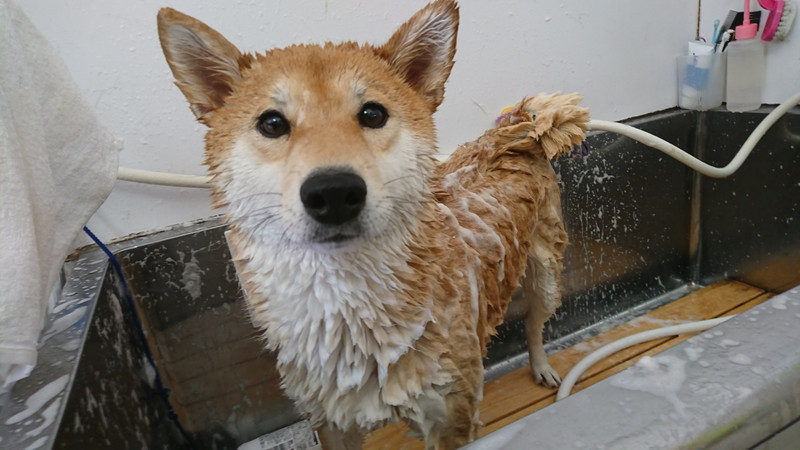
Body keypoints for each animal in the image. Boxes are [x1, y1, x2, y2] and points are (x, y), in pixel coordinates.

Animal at [157, 1, 588, 448]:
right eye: (272, 123)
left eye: (372, 114)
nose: (333, 193)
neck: (350, 311)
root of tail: (515, 130)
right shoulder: (328, 419)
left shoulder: (451, 414)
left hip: (547, 274)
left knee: (536, 322)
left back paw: (541, 365)